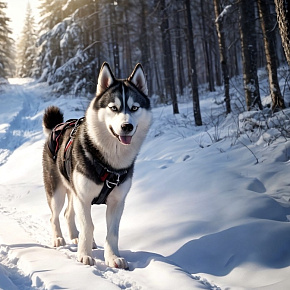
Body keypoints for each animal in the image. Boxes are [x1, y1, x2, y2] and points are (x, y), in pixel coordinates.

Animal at [43, 62, 153, 268]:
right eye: (113, 107)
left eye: (134, 108)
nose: (127, 126)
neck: (110, 162)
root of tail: (57, 127)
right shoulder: (84, 198)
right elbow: (89, 226)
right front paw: (84, 255)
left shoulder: (117, 202)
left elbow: (112, 232)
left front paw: (113, 257)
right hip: (57, 192)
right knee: (55, 215)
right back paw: (58, 238)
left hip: (73, 191)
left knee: (68, 214)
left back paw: (75, 237)